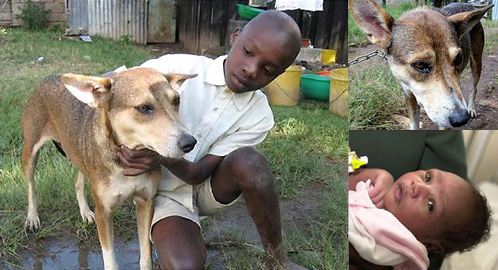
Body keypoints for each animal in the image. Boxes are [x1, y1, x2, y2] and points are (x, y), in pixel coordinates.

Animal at [21, 67, 196, 268]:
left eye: (176, 100)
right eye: (144, 108)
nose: (190, 143)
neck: (124, 163)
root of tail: (49, 77)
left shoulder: (146, 203)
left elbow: (145, 256)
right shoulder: (103, 213)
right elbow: (111, 261)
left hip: (78, 154)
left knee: (78, 181)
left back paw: (85, 212)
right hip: (30, 153)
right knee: (31, 185)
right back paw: (32, 217)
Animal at [350, 0, 494, 129]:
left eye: (459, 58)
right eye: (419, 64)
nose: (461, 119)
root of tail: (467, 4)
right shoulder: (409, 96)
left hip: (476, 63)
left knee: (474, 86)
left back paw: (471, 108)